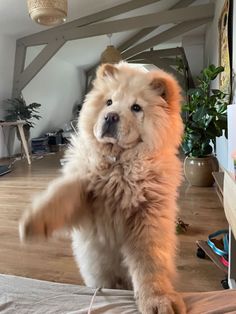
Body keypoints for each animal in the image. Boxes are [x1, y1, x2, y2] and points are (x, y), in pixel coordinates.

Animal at [19, 62, 186, 314]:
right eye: (109, 102)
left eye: (136, 108)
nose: (110, 116)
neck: (118, 163)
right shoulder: (86, 188)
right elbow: (61, 194)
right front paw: (34, 223)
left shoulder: (148, 214)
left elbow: (149, 262)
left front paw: (158, 300)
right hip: (98, 273)